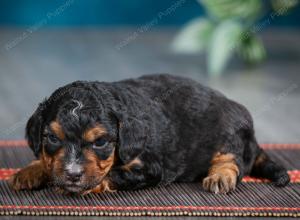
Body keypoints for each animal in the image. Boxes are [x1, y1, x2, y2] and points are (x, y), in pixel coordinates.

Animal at [9, 74, 290, 194]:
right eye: (52, 138)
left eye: (101, 142)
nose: (73, 174)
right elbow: (48, 161)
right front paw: (32, 170)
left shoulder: (150, 167)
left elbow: (113, 173)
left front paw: (90, 184)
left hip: (229, 133)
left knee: (232, 161)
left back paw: (221, 176)